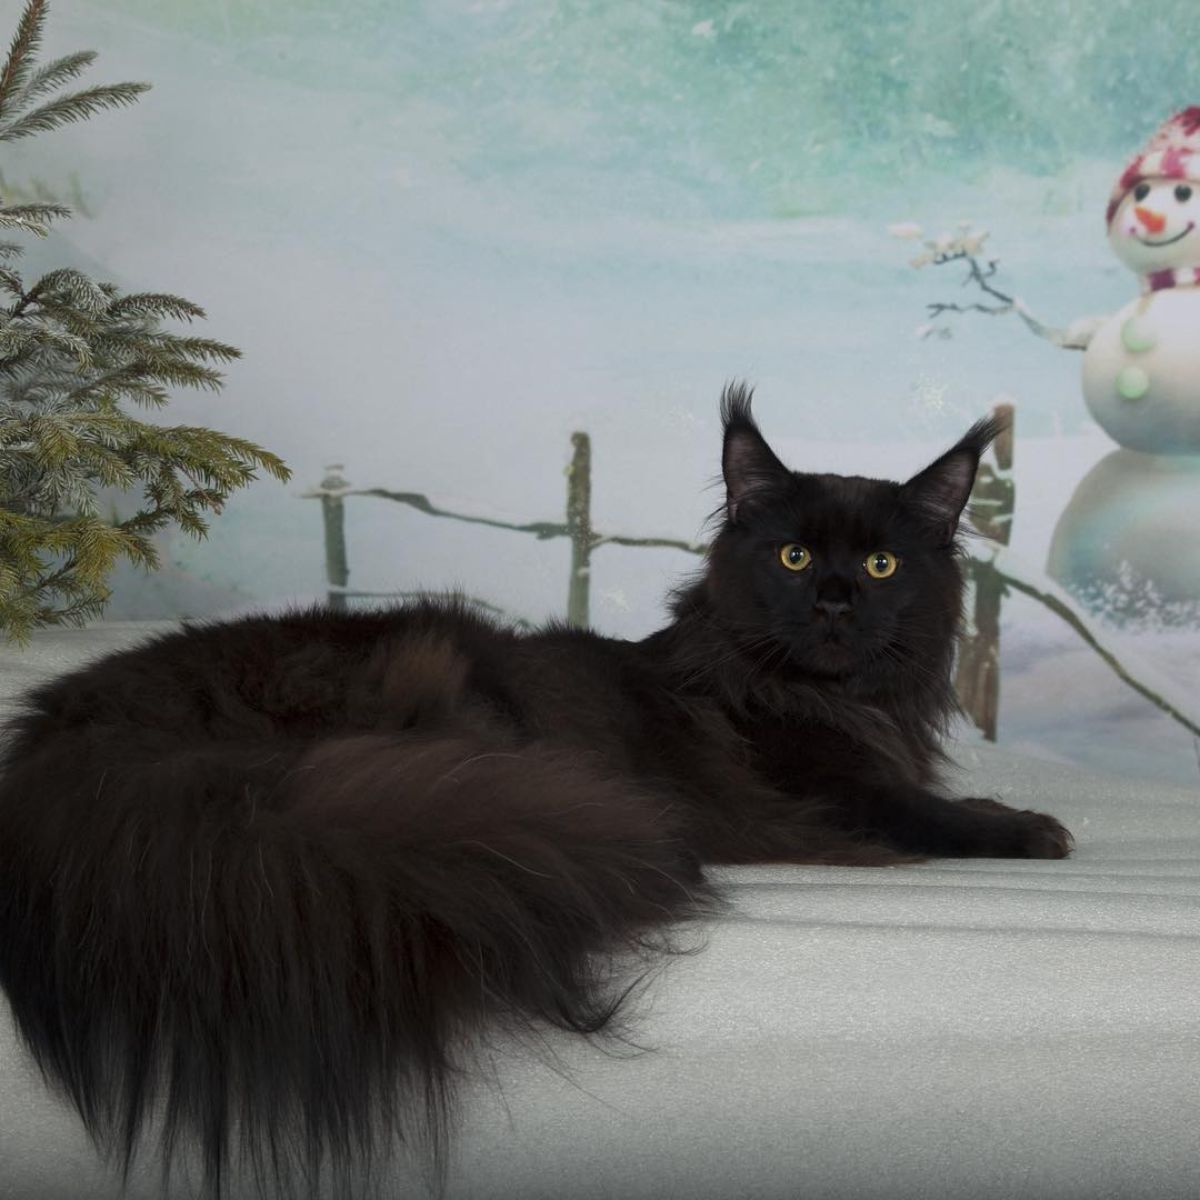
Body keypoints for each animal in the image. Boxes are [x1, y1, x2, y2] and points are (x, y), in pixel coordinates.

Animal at [0, 386, 1070, 1200]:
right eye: (794, 557)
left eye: (882, 564)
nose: (837, 601)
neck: (820, 695)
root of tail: (75, 736)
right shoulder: (833, 794)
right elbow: (935, 814)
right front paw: (1035, 827)